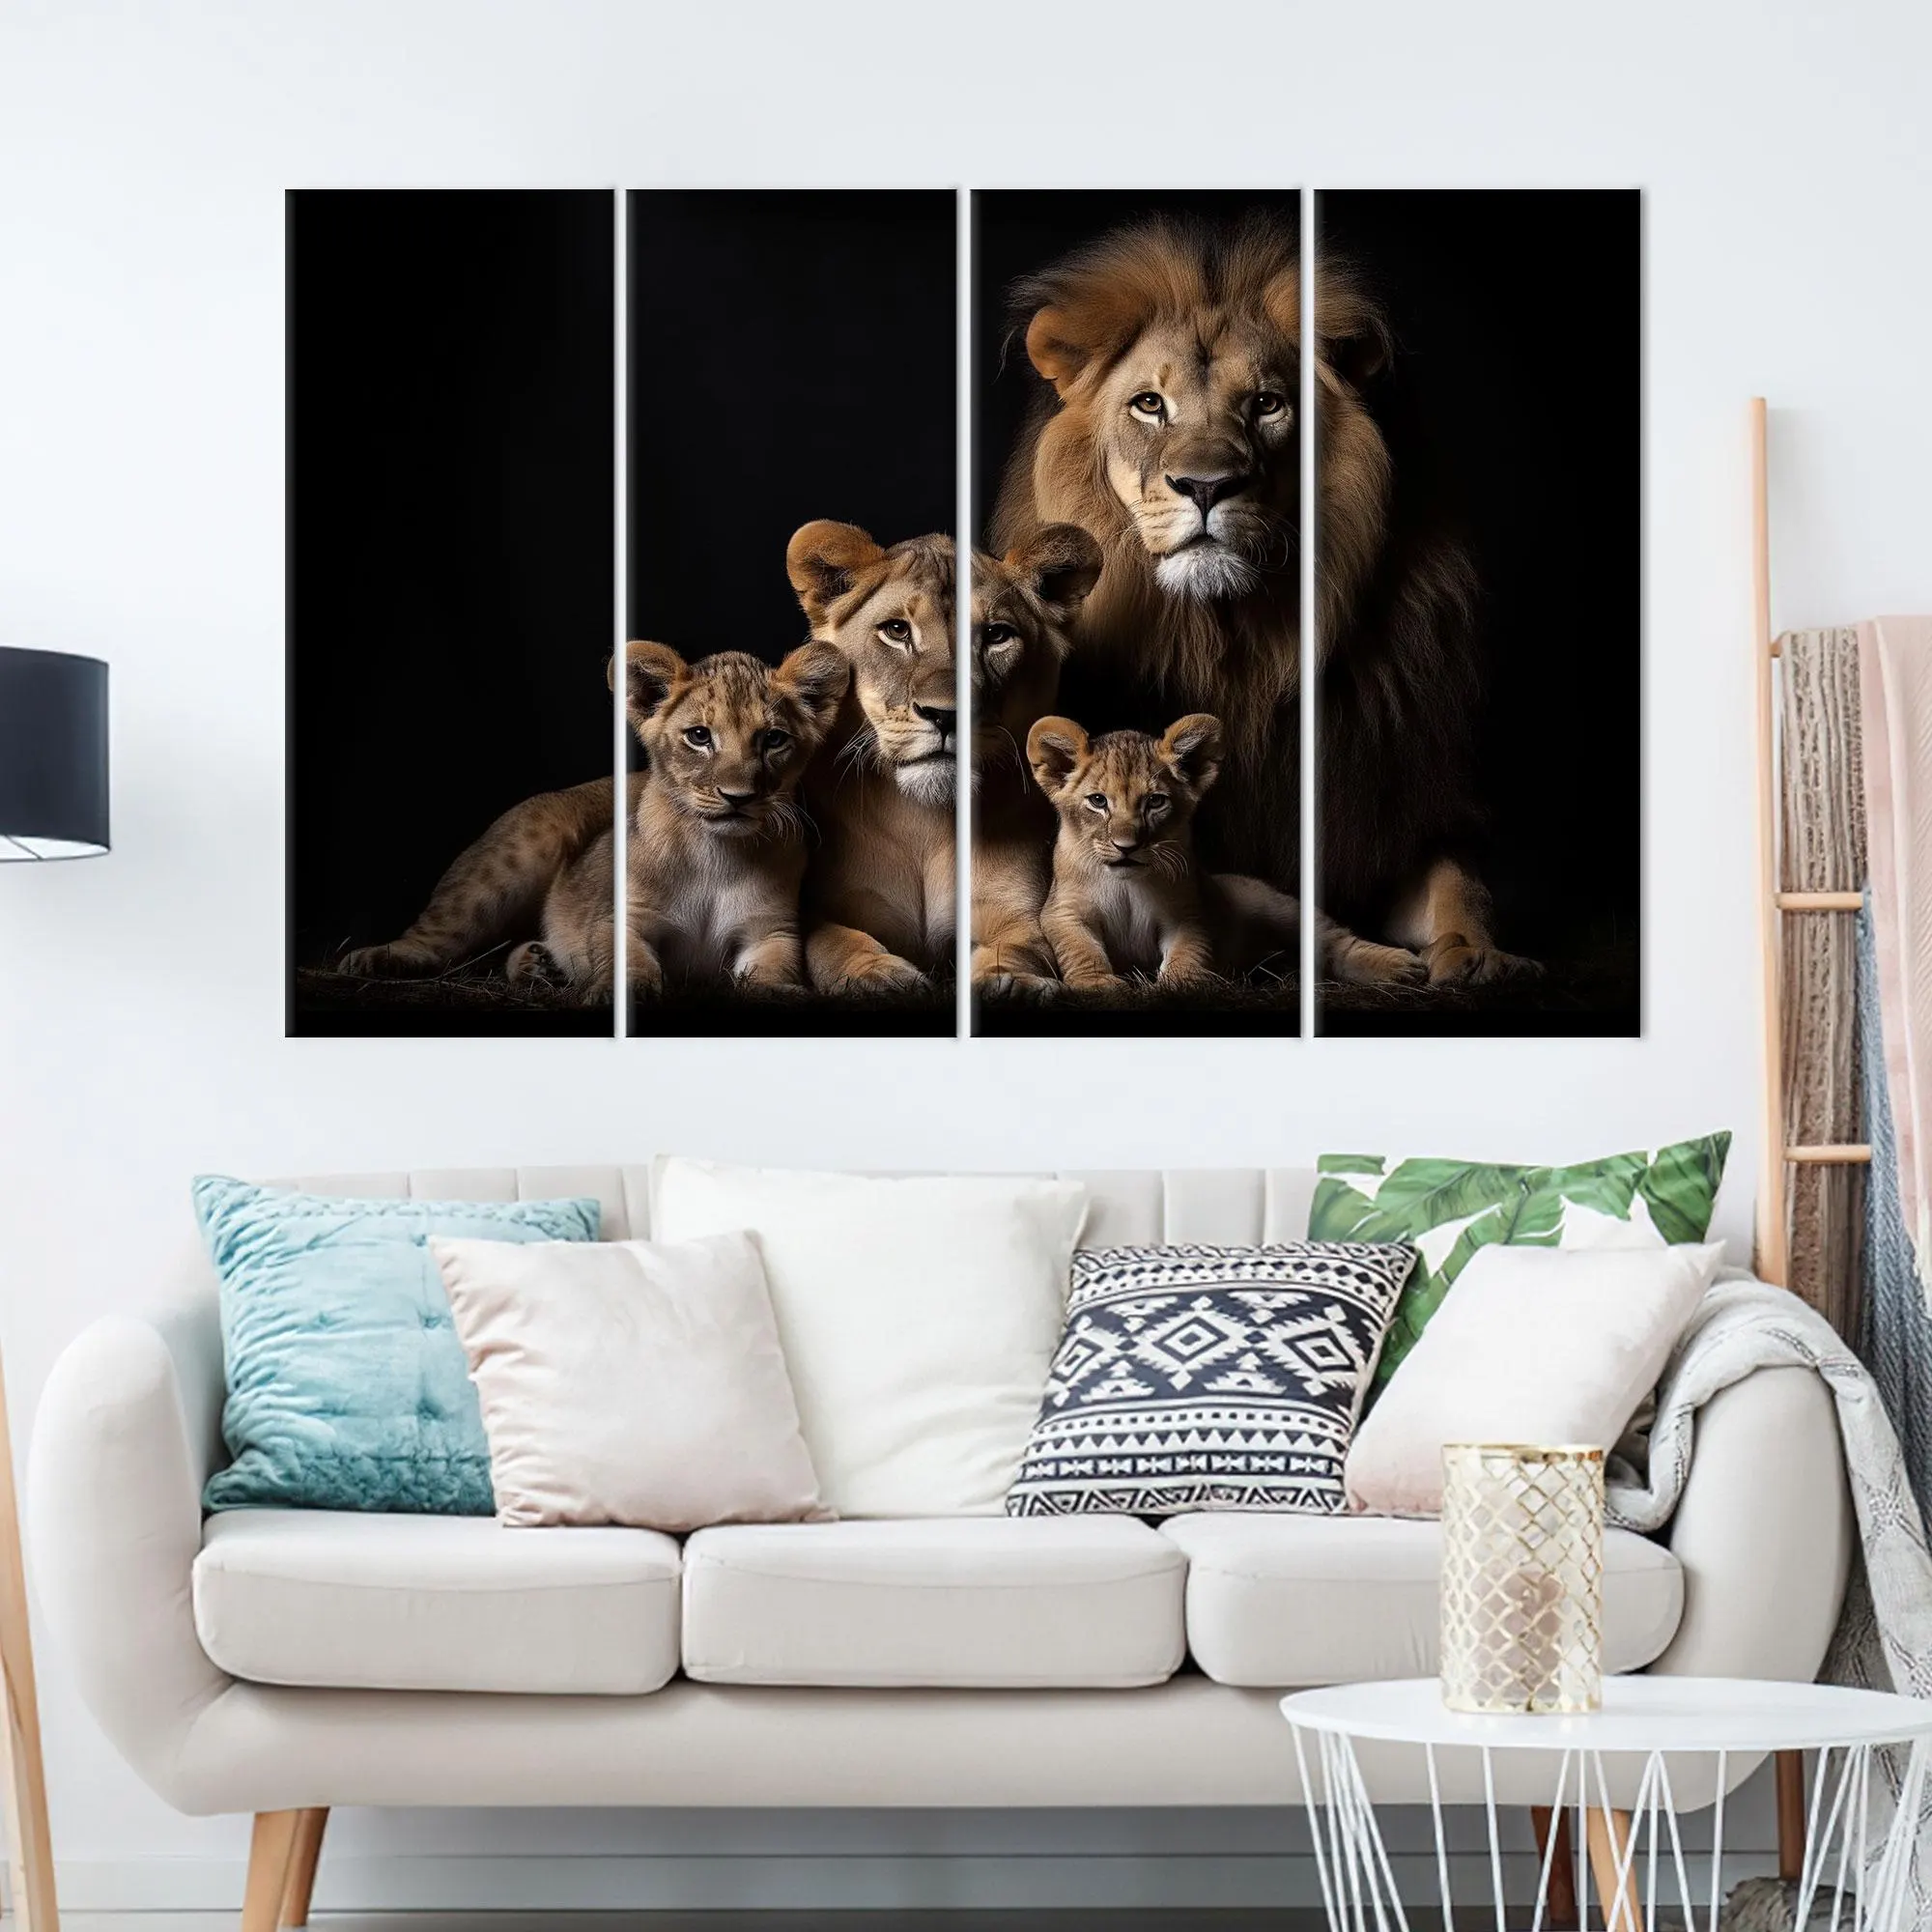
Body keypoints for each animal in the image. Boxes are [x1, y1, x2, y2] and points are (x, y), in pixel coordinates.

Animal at [340, 641, 846, 1001]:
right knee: (436, 933)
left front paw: (782, 992)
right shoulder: (619, 918)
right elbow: (629, 962)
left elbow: (773, 969)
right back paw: (373, 959)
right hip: (517, 854)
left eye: (773, 739)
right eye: (700, 736)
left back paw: (537, 965)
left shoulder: (771, 930)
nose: (738, 798)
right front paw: (621, 992)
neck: (715, 854)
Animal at [992, 212, 1530, 987]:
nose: (1206, 485)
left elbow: (1459, 885)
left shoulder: (1390, 813)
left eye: (1267, 404)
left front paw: (1479, 954)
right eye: (1150, 404)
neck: (1231, 640)